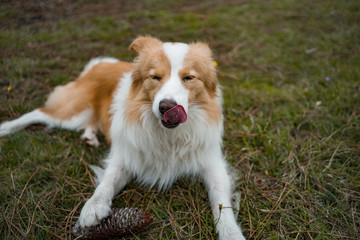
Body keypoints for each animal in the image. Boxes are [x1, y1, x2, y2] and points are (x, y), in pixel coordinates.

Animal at [0, 36, 246, 239]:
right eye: (155, 77)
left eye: (188, 78)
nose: (166, 107)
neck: (169, 135)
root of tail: (100, 63)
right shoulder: (125, 156)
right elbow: (107, 182)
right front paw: (92, 208)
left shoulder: (213, 164)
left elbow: (221, 202)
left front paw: (231, 232)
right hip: (72, 113)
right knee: (38, 113)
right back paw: (7, 128)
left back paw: (90, 137)